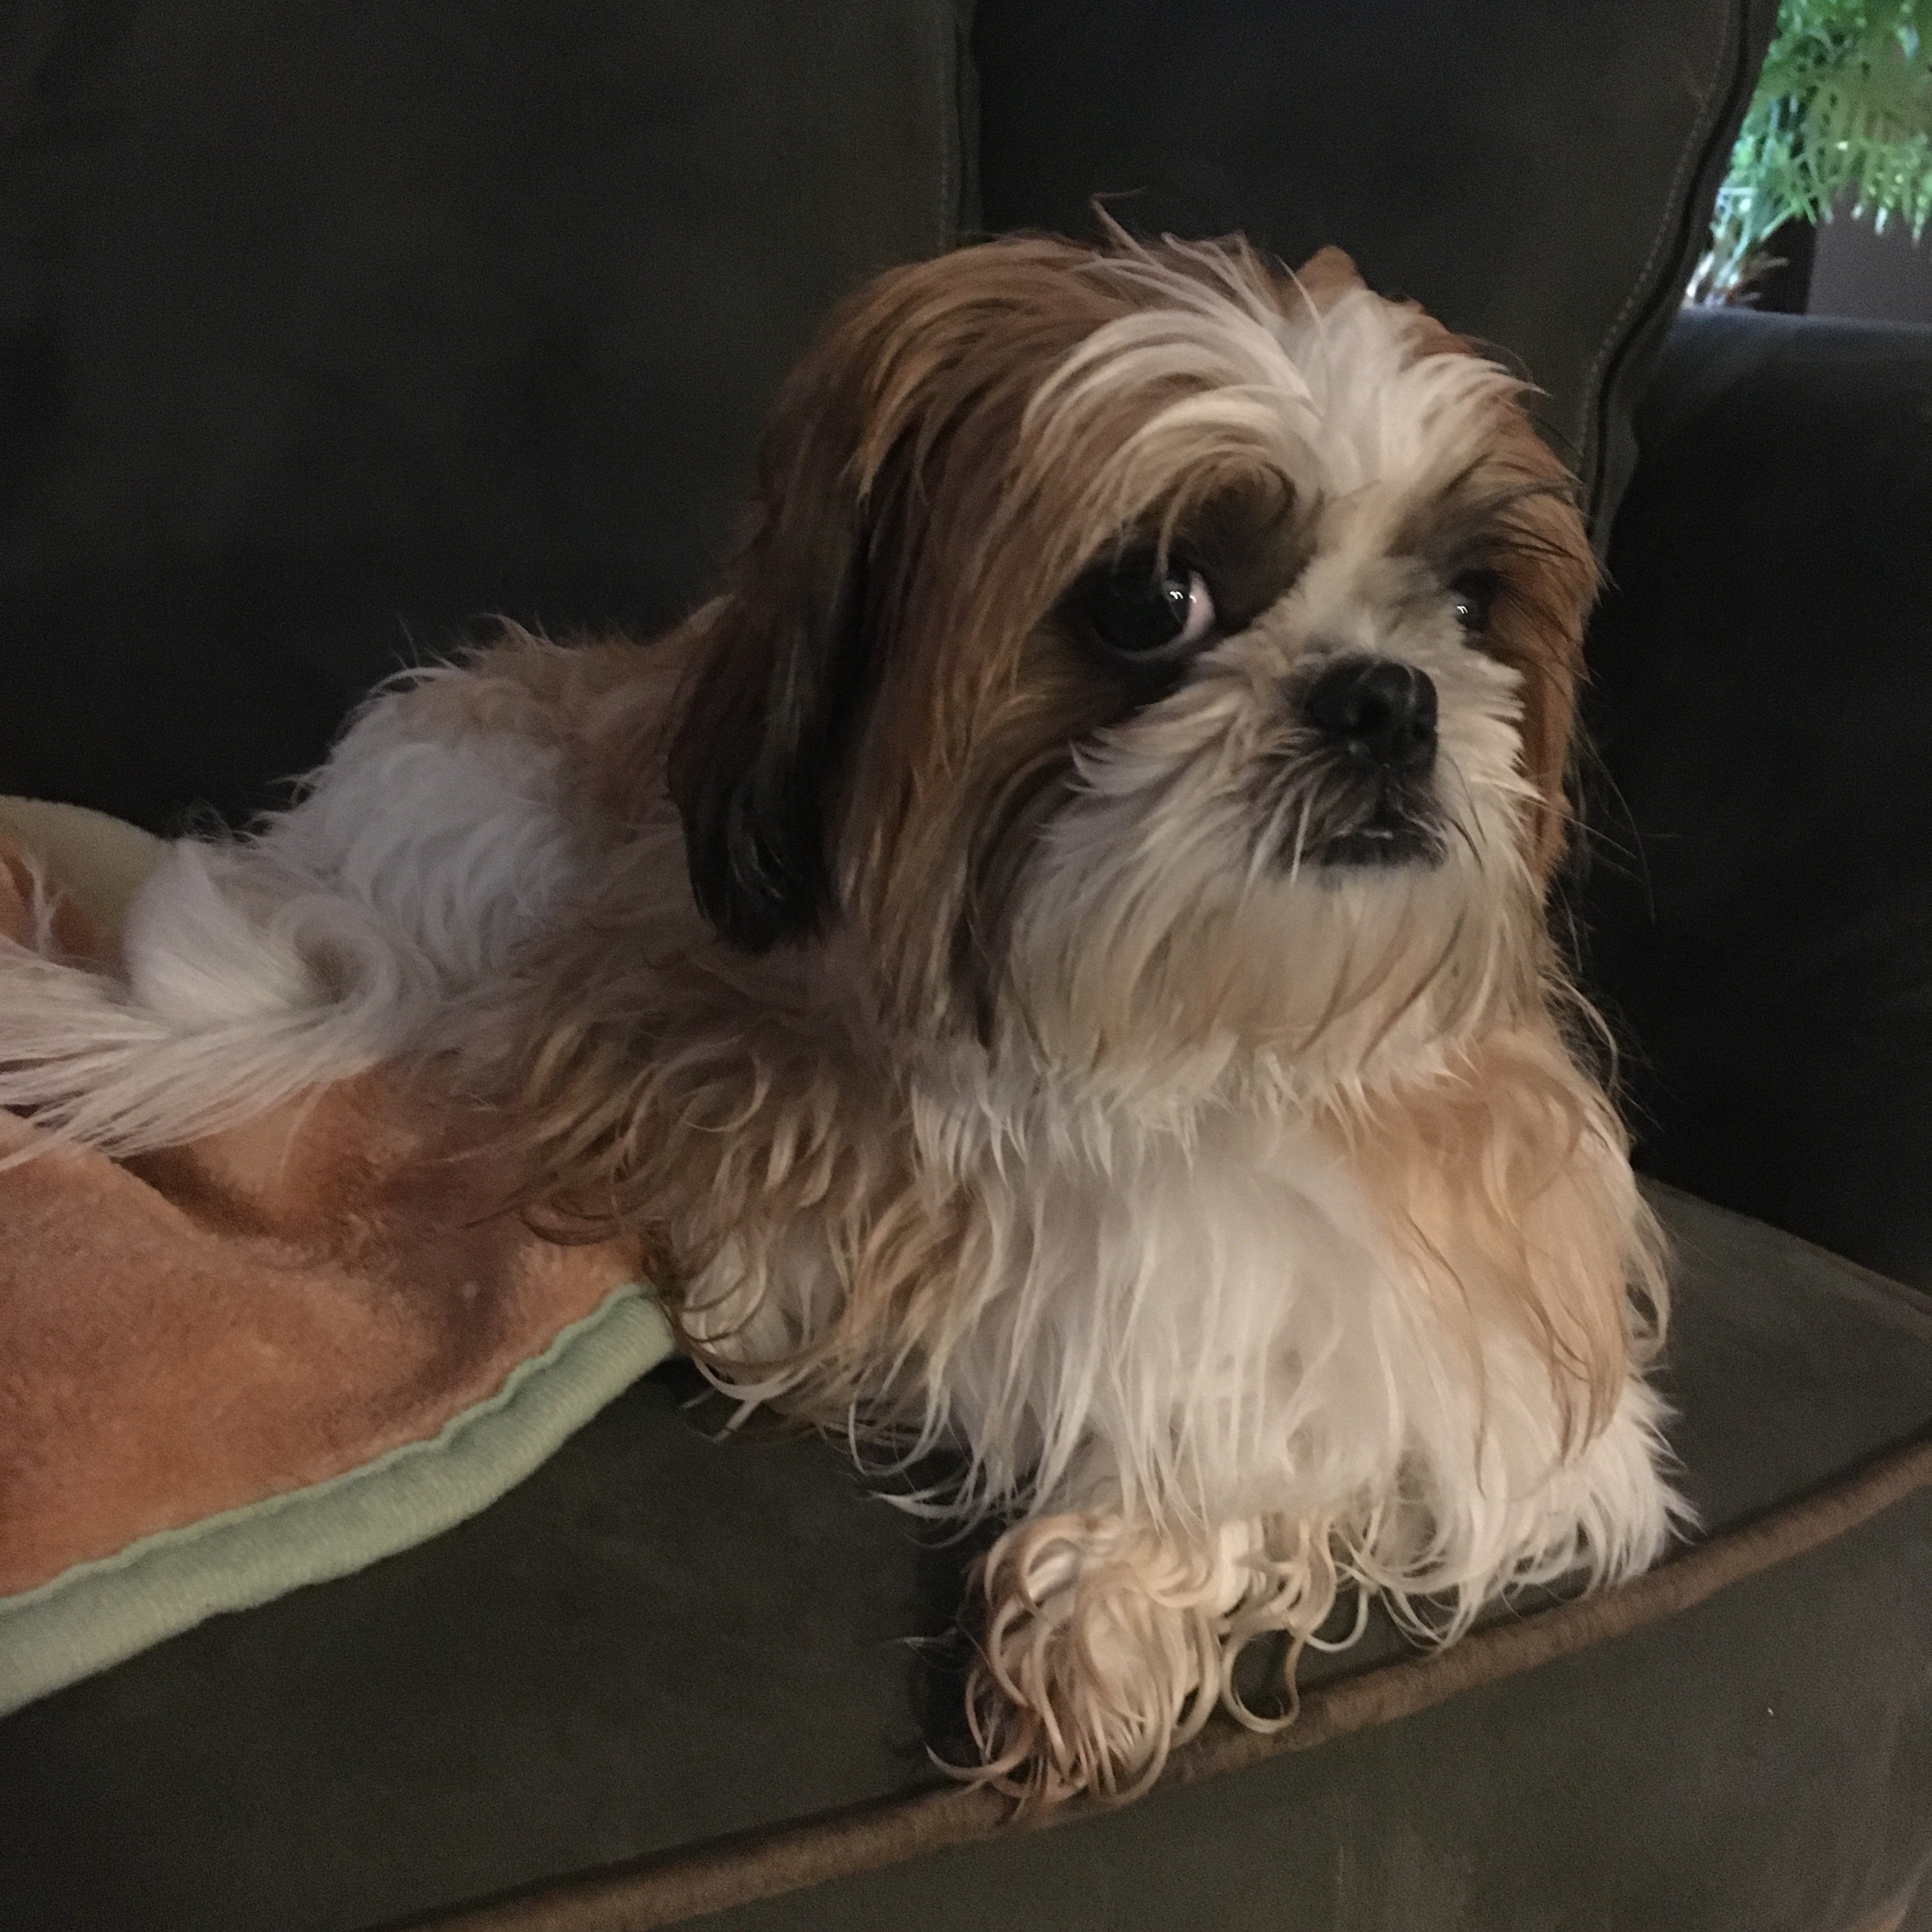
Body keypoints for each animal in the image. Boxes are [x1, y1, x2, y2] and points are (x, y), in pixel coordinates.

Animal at [0, 232, 1680, 1804]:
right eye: (1152, 600)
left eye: (1469, 603)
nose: (1387, 696)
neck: (1169, 1040)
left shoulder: (1509, 1371)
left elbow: (1300, 1432)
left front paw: (1112, 1600)